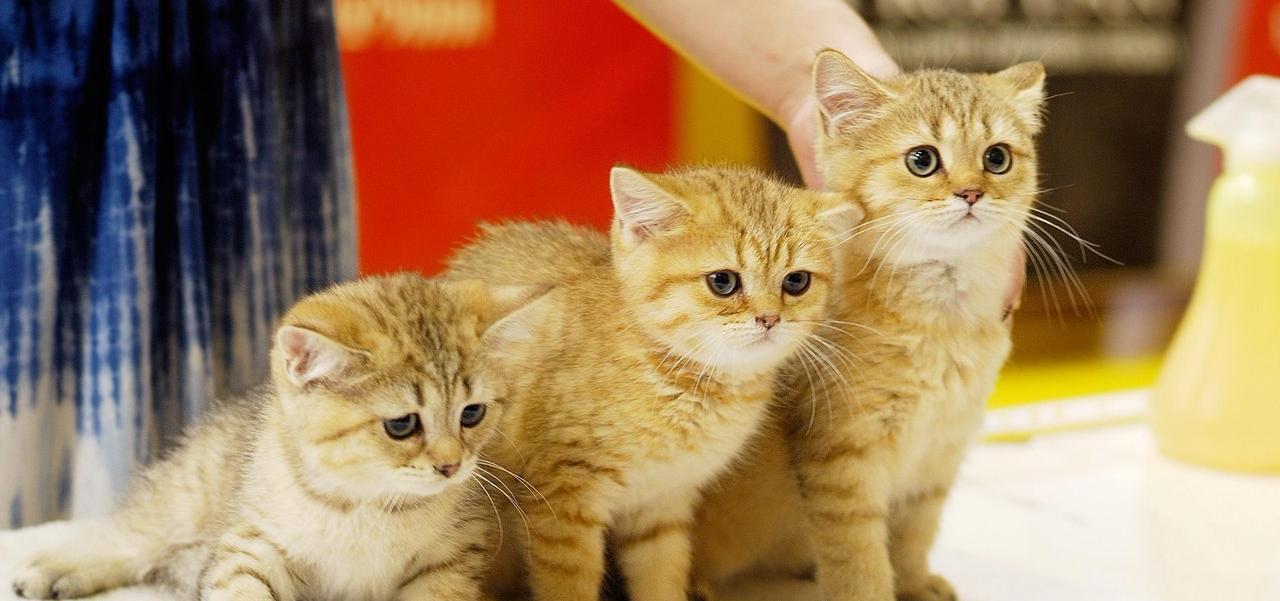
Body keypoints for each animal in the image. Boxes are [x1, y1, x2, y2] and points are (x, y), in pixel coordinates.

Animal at [12, 274, 546, 601]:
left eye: (472, 413)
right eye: (402, 425)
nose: (451, 465)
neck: (369, 505)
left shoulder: (452, 559)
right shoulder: (252, 547)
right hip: (183, 502)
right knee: (123, 537)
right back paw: (52, 570)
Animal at [444, 165, 858, 601]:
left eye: (796, 282)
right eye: (723, 282)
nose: (769, 318)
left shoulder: (663, 504)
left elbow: (662, 576)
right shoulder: (562, 500)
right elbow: (569, 585)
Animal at [691, 50, 1047, 601]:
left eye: (997, 158)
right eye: (922, 160)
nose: (971, 192)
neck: (938, 323)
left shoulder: (937, 456)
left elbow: (915, 535)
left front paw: (916, 583)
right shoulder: (842, 458)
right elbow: (858, 553)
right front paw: (873, 589)